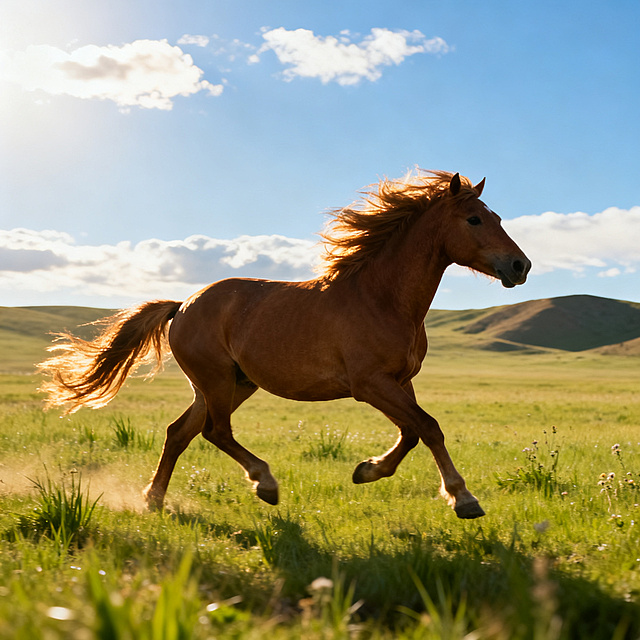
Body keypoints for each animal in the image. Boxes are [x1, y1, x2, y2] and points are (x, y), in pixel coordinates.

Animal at [39, 170, 531, 519]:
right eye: (474, 219)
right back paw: (265, 484)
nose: (520, 266)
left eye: (498, 218)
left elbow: (412, 432)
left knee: (180, 433)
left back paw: (154, 501)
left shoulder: (399, 382)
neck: (381, 297)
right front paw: (464, 499)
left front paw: (367, 471)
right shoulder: (370, 384)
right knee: (214, 432)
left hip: (232, 384)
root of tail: (183, 305)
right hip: (218, 381)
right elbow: (428, 427)